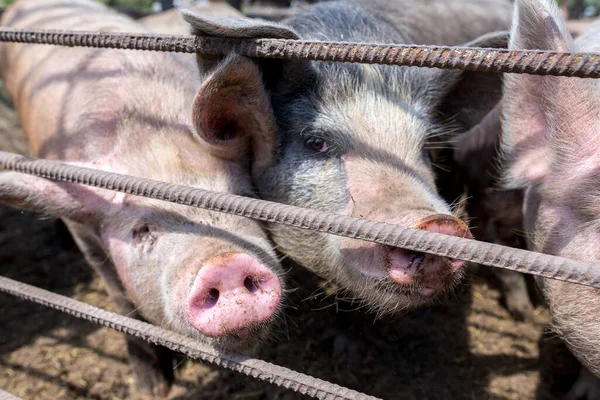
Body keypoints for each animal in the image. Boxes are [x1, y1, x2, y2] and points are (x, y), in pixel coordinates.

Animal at [0, 0, 288, 396]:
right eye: (141, 231)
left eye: (242, 198)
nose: (225, 264)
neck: (148, 131)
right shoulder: (85, 230)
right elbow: (122, 302)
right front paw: (153, 390)